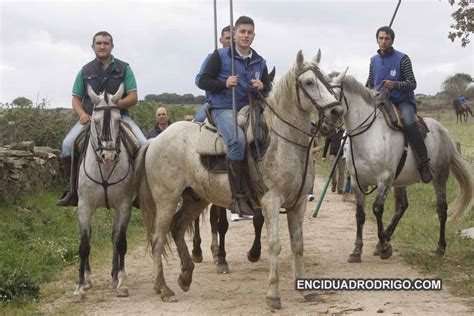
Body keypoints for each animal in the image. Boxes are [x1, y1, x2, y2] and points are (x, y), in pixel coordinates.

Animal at [74, 83, 133, 298]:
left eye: (118, 120)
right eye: (96, 121)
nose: (108, 156)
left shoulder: (124, 206)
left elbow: (120, 241)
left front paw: (122, 282)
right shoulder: (84, 207)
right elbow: (84, 244)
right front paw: (80, 286)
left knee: (115, 237)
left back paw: (115, 275)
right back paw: (87, 277)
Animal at [133, 50, 344, 310]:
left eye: (325, 79)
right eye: (308, 82)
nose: (336, 112)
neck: (281, 141)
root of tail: (156, 140)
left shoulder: (299, 203)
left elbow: (298, 245)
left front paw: (307, 291)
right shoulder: (271, 202)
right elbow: (275, 245)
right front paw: (273, 295)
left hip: (195, 199)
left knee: (178, 227)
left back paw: (185, 276)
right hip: (167, 200)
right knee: (157, 238)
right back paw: (164, 288)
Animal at [328, 75, 472, 262]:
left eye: (331, 94)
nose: (323, 125)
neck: (368, 136)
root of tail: (444, 131)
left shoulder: (385, 179)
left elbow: (377, 209)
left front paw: (385, 247)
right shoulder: (357, 181)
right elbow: (360, 215)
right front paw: (357, 250)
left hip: (439, 177)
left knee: (442, 209)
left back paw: (440, 248)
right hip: (400, 182)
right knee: (401, 207)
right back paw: (384, 239)